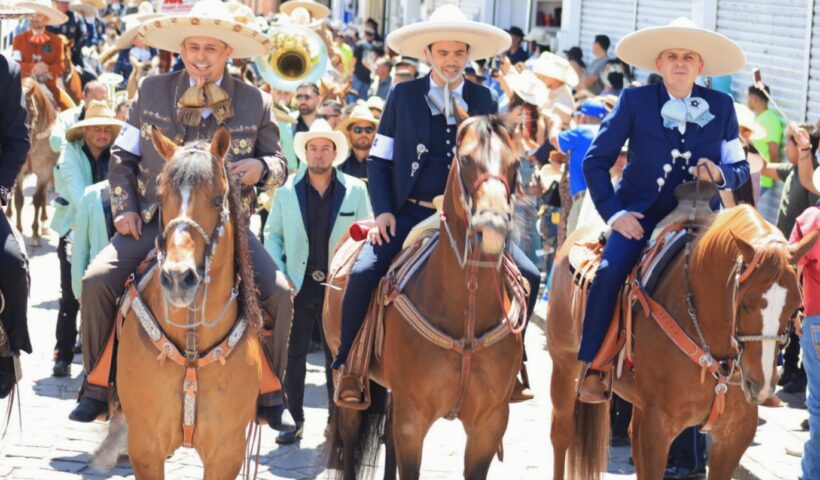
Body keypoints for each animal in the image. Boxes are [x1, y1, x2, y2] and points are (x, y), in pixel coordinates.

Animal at [5, 79, 59, 247]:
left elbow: (37, 200)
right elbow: (19, 200)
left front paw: (35, 234)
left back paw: (44, 224)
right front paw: (18, 229)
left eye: (33, 113)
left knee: (42, 197)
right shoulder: (19, 172)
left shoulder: (45, 172)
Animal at [94, 126, 264, 479]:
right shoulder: (145, 445)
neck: (192, 347)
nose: (177, 277)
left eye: (218, 199)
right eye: (160, 198)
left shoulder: (226, 451)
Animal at [324, 114, 529, 480]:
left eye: (516, 163)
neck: (466, 311)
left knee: (387, 434)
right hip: (345, 378)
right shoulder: (413, 418)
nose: (491, 228)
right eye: (466, 159)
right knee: (349, 435)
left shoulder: (489, 423)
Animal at [547, 203, 820, 479]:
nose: (760, 385)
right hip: (564, 368)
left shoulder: (733, 435)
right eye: (745, 304)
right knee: (562, 434)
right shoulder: (657, 427)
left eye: (796, 307)